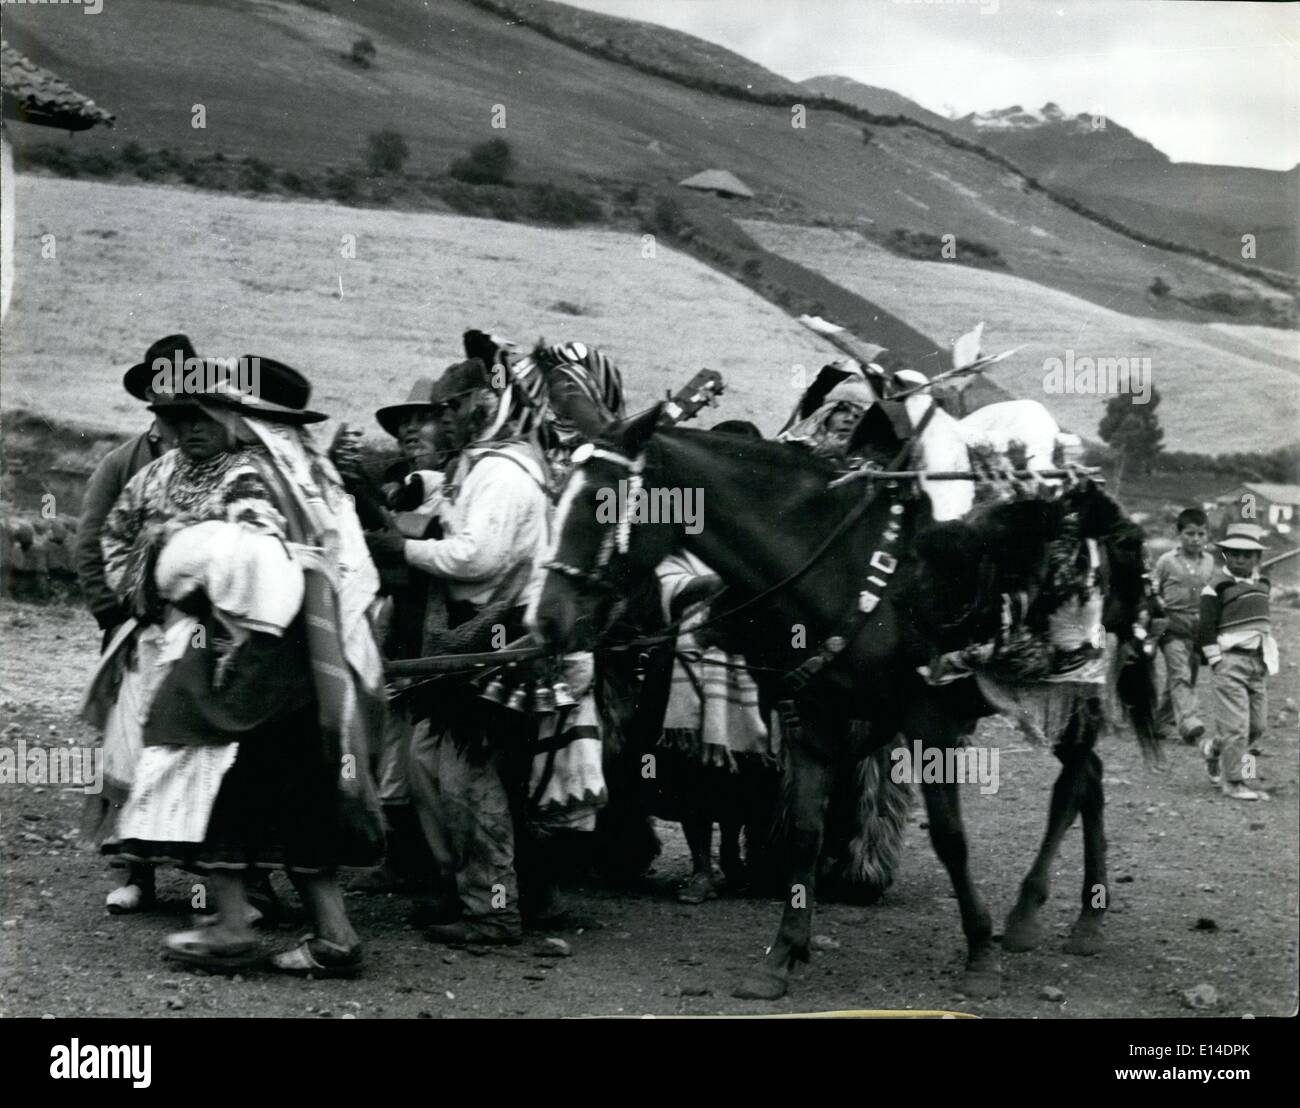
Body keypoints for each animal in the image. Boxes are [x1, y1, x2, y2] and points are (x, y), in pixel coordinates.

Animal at [527, 405, 1159, 1003]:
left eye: (600, 501)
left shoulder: (929, 725)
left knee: (1073, 783)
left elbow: (951, 839)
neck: (845, 570)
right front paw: (783, 956)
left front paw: (979, 957)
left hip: (1074, 687)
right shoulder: (813, 720)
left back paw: (1033, 916)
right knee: (1090, 779)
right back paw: (1082, 920)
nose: (546, 618)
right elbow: (805, 830)